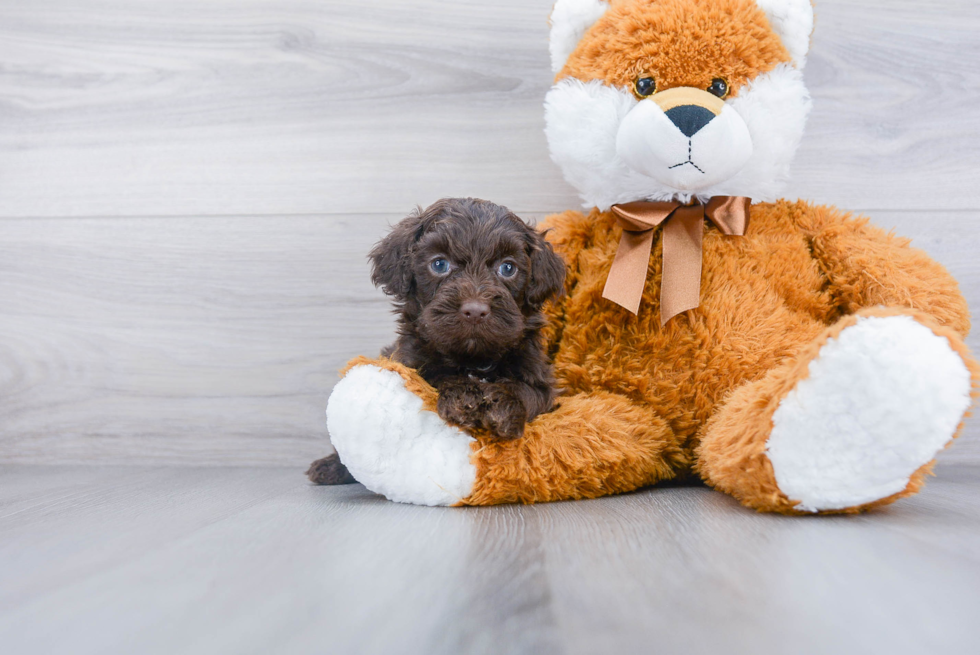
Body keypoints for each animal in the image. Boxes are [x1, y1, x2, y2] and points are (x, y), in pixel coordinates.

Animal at [306, 197, 568, 484]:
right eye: (439, 264)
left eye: (508, 268)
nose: (475, 310)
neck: (473, 359)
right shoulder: (411, 362)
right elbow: (439, 377)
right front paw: (463, 396)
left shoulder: (540, 379)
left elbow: (528, 391)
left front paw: (503, 405)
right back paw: (331, 467)